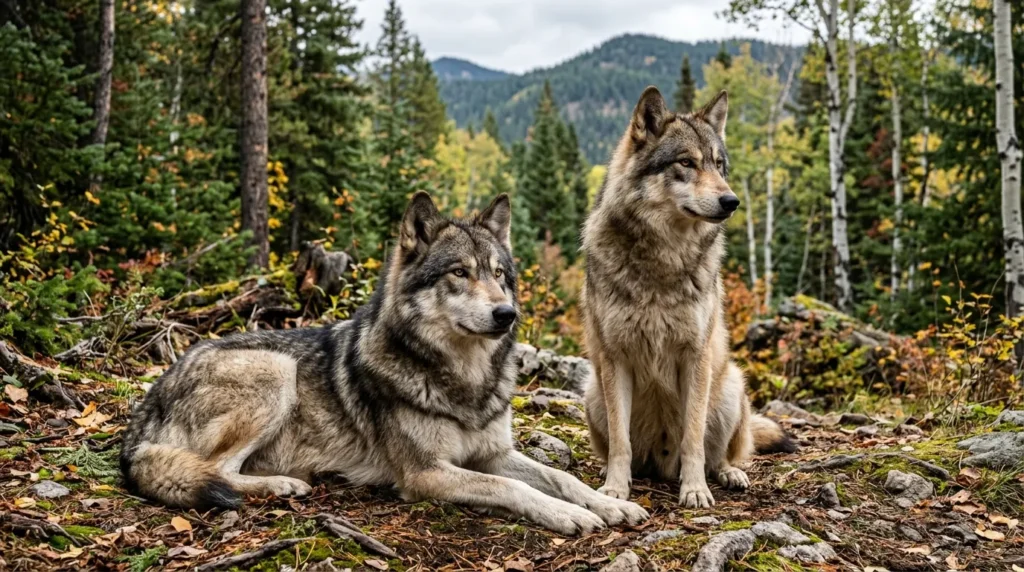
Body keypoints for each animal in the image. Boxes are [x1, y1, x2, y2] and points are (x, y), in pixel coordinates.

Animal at [120, 193, 649, 535]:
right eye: (460, 273)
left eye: (500, 274)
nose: (507, 314)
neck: (465, 381)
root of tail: (148, 405)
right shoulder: (426, 474)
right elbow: (512, 488)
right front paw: (572, 515)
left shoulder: (493, 452)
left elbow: (561, 478)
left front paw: (608, 503)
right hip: (275, 371)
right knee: (216, 471)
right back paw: (284, 484)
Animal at [581, 87, 796, 509]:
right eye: (686, 162)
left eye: (718, 165)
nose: (732, 202)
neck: (663, 261)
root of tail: (662, 464)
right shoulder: (615, 359)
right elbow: (620, 443)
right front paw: (615, 489)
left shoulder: (694, 356)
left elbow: (693, 438)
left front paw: (695, 490)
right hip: (592, 390)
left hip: (729, 386)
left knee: (723, 453)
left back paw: (728, 474)